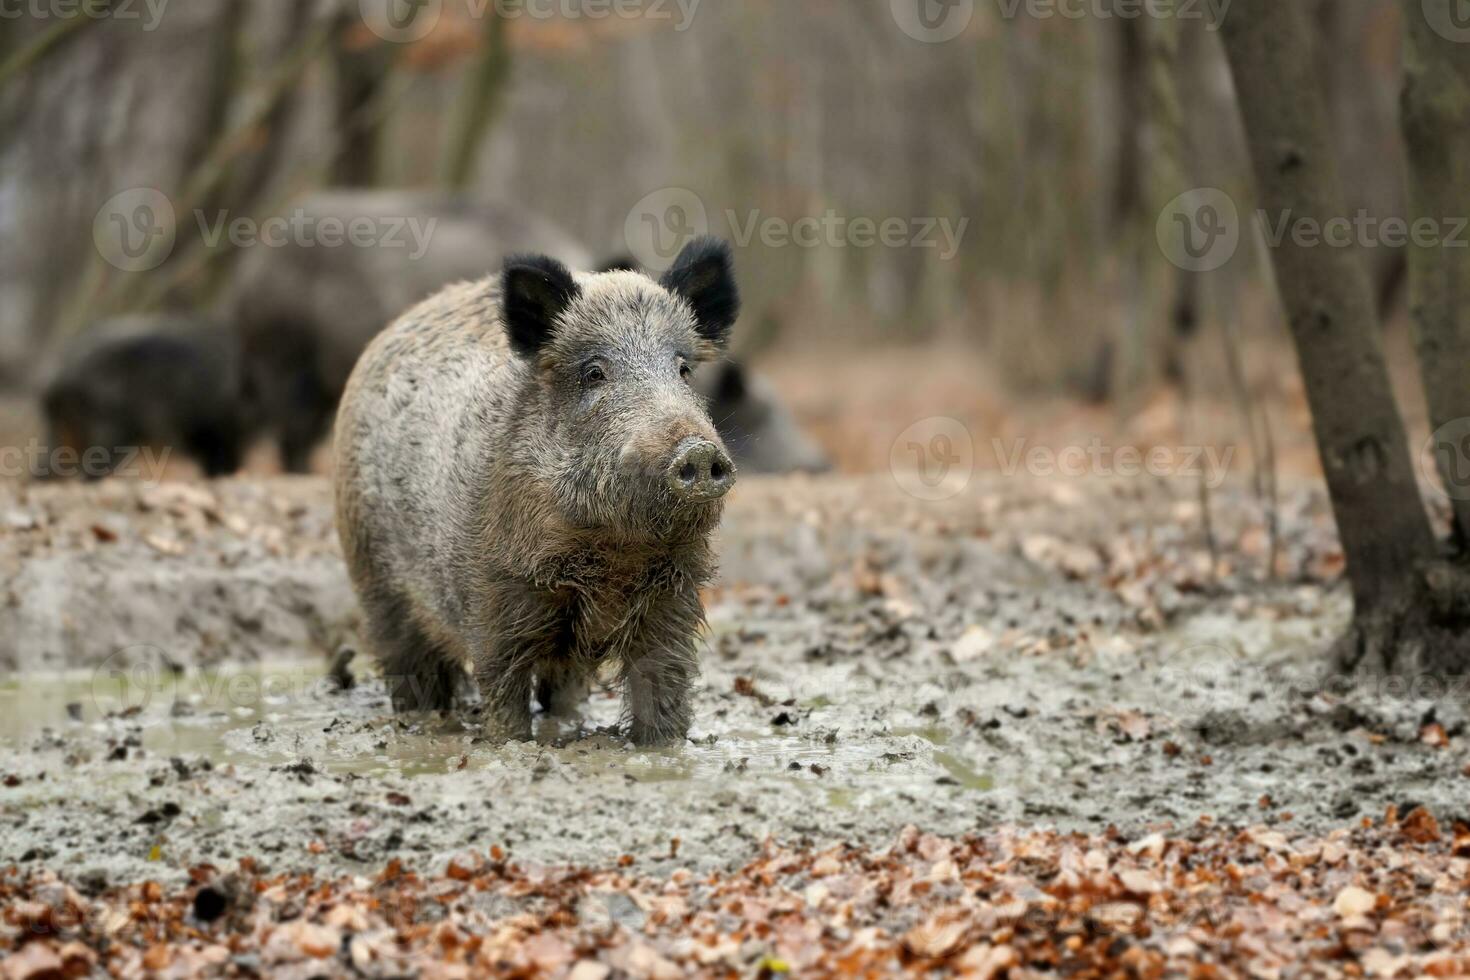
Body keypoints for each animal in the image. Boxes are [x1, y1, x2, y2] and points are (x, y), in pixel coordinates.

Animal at [334, 237, 740, 745]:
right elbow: (503, 693)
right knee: (411, 669)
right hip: (373, 578)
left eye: (683, 370)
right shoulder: (492, 598)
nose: (698, 450)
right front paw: (512, 743)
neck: (613, 555)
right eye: (594, 372)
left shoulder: (674, 604)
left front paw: (662, 748)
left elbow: (663, 692)